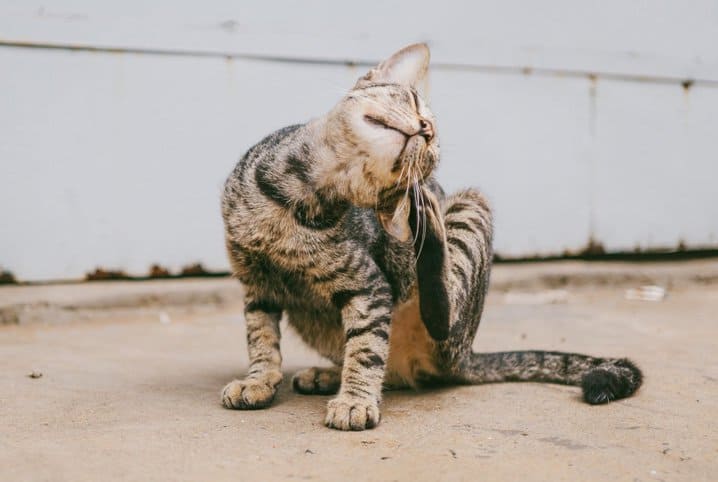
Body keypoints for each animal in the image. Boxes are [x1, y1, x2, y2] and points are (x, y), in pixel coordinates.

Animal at [219, 43, 640, 432]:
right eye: (414, 101)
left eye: (432, 149)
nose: (426, 129)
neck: (297, 196)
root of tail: (466, 354)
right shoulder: (256, 284)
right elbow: (262, 339)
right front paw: (258, 380)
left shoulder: (370, 287)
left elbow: (367, 347)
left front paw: (355, 400)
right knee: (382, 366)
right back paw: (327, 374)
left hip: (469, 214)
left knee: (439, 315)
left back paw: (426, 220)